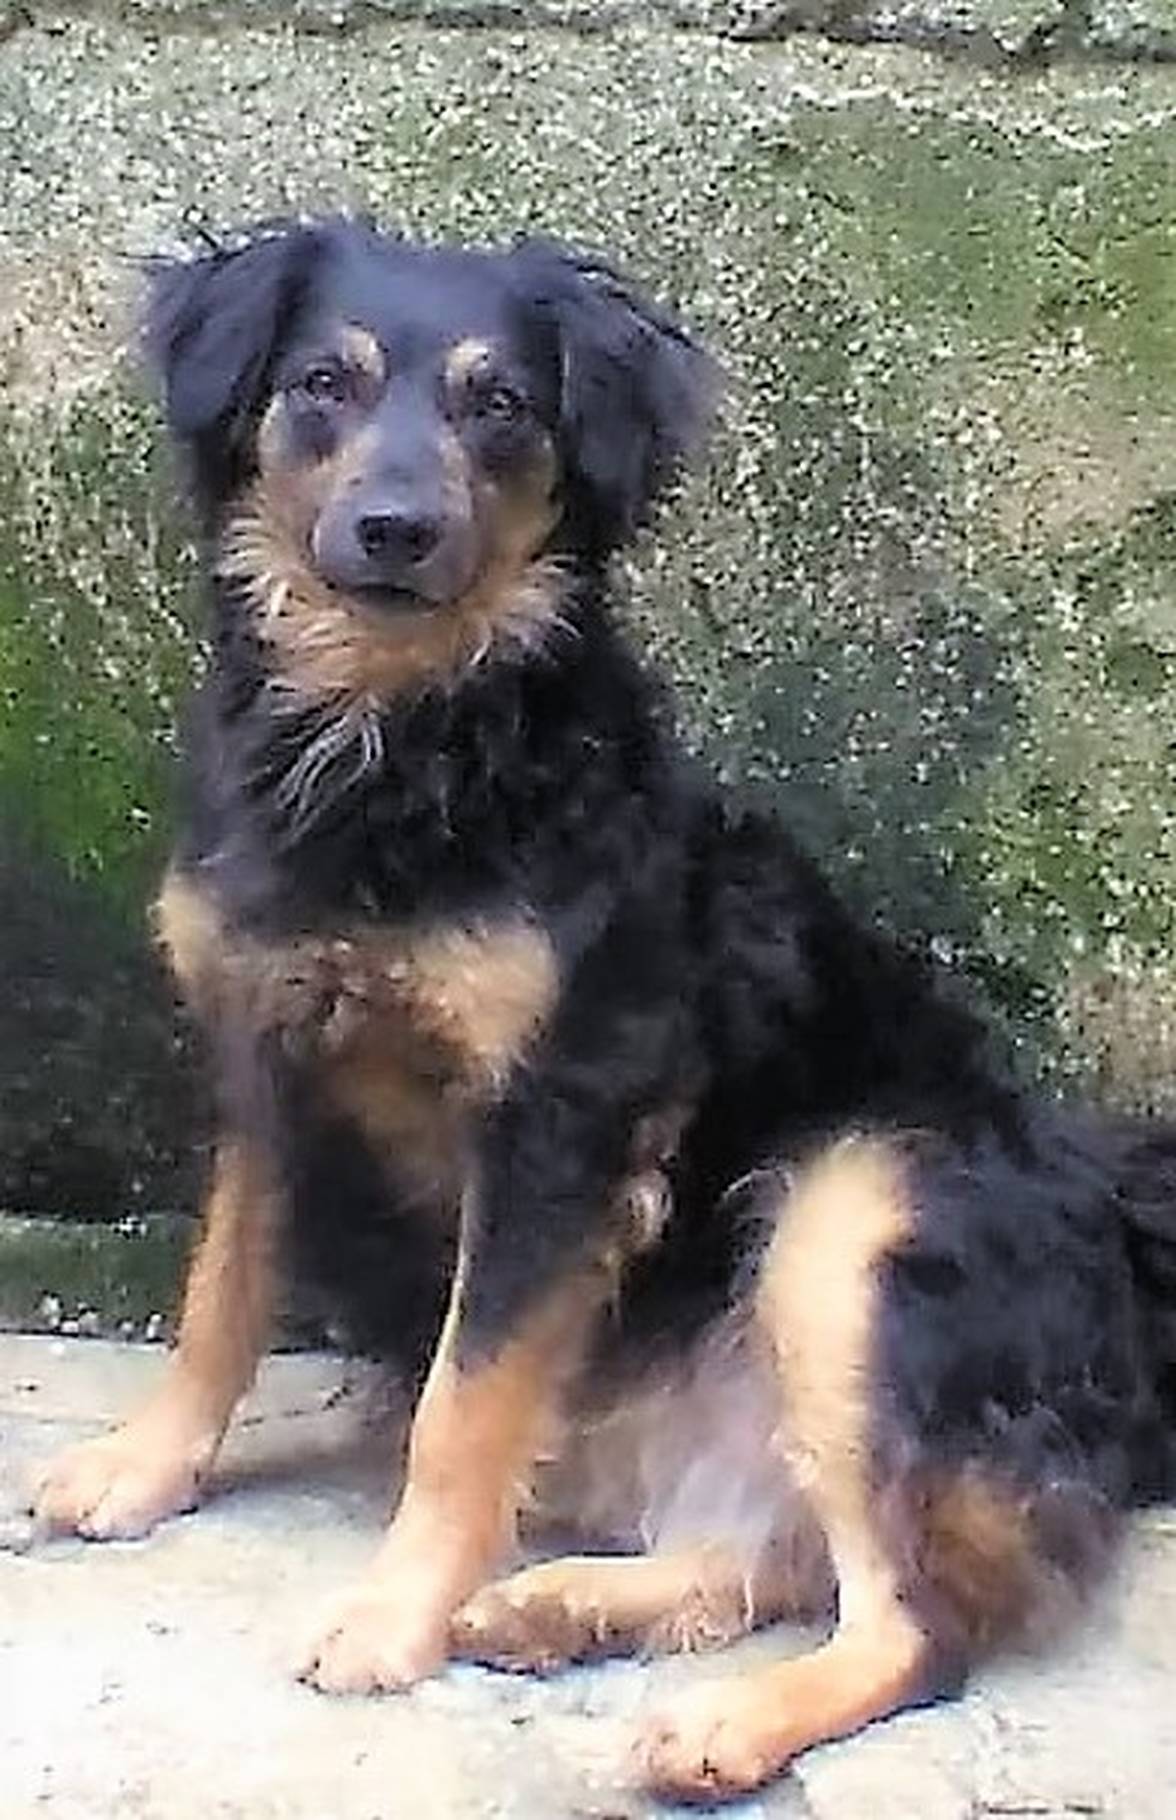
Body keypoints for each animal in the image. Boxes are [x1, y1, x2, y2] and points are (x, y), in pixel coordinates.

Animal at [35, 217, 1176, 1804]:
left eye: (500, 404)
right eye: (323, 382)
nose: (394, 528)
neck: (396, 744)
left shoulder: (561, 1121)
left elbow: (462, 1406)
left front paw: (394, 1614)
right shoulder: (263, 1060)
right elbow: (222, 1300)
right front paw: (146, 1469)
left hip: (851, 1215)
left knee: (915, 1625)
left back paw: (717, 1722)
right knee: (769, 1556)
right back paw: (555, 1606)